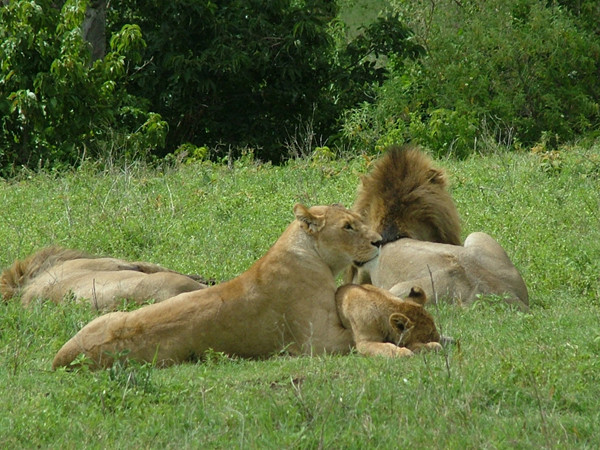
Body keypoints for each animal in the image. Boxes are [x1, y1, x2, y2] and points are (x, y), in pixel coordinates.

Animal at [52, 204, 440, 370]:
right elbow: (370, 338)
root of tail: (61, 360)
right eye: (347, 226)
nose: (378, 242)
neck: (307, 254)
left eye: (359, 221)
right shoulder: (320, 343)